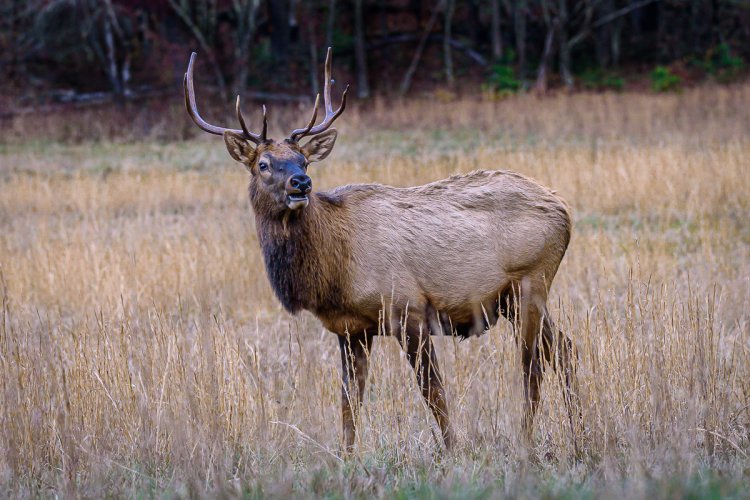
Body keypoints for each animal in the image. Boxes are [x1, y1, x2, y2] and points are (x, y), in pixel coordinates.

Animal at [185, 48, 580, 452]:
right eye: (263, 164)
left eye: (304, 159)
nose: (301, 183)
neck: (333, 270)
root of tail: (563, 208)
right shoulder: (350, 329)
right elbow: (349, 400)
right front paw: (346, 456)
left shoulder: (409, 309)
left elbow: (433, 392)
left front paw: (453, 449)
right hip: (514, 299)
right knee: (564, 349)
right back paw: (578, 428)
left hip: (530, 281)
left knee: (532, 362)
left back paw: (527, 438)